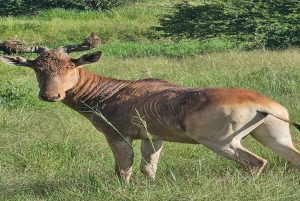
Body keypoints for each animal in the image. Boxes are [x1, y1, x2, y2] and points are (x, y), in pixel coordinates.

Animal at [0, 33, 300, 184]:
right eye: (37, 67)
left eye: (69, 65)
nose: (50, 95)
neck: (117, 90)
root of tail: (262, 103)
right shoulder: (152, 138)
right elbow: (148, 168)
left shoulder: (118, 136)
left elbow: (123, 169)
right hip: (274, 136)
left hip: (221, 142)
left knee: (256, 162)